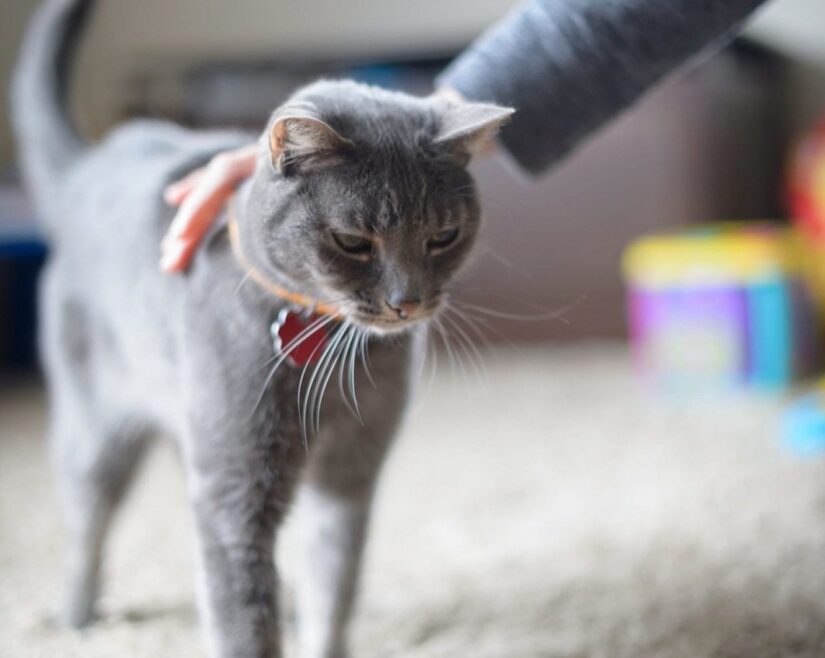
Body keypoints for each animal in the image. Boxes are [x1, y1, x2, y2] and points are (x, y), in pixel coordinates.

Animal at [12, 1, 512, 656]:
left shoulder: (352, 468)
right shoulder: (235, 490)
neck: (333, 357)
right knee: (86, 518)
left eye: (444, 237)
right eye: (353, 242)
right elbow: (244, 616)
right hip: (96, 426)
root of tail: (93, 163)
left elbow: (333, 582)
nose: (409, 302)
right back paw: (77, 616)